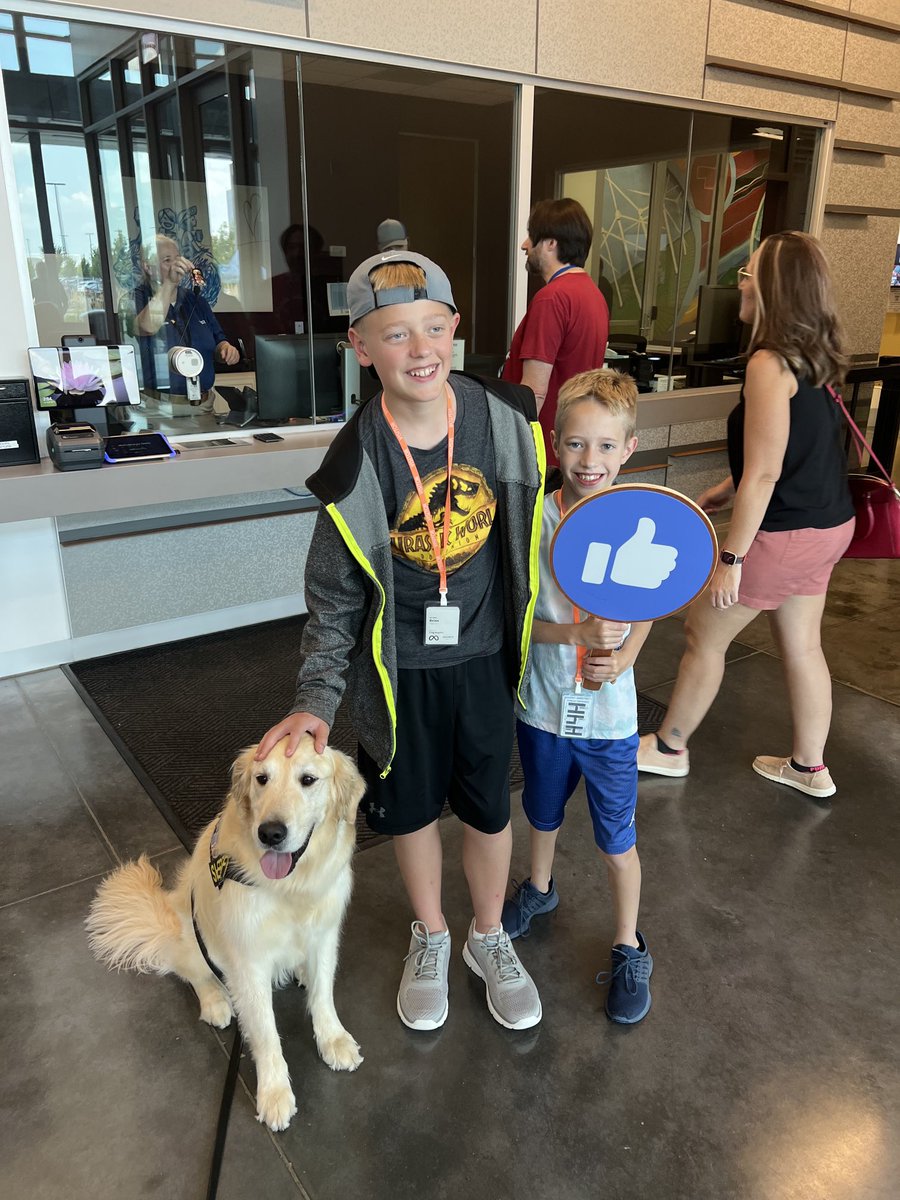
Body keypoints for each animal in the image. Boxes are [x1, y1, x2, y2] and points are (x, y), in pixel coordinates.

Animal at [85, 734, 367, 1128]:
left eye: (308, 780)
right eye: (262, 779)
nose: (270, 833)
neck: (290, 886)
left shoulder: (324, 934)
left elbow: (324, 993)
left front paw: (333, 1039)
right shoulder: (249, 961)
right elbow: (265, 1031)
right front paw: (274, 1093)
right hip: (190, 934)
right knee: (193, 972)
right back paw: (217, 1001)